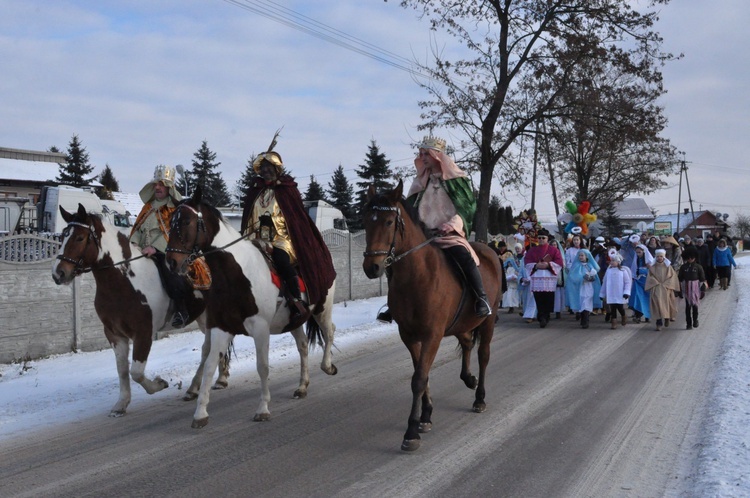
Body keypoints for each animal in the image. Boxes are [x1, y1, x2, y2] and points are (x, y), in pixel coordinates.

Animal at [169, 189, 340, 430]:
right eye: (170, 221)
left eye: (186, 221)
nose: (172, 261)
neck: (237, 274)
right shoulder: (222, 327)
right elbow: (210, 364)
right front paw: (200, 413)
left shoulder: (260, 329)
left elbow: (263, 367)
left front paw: (263, 409)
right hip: (294, 320)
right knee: (303, 346)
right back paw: (302, 386)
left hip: (322, 308)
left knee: (329, 331)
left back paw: (327, 367)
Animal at [362, 182, 502, 452]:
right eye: (366, 221)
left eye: (388, 221)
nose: (371, 267)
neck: (417, 276)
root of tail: (488, 249)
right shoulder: (409, 336)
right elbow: (422, 374)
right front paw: (425, 416)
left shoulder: (432, 335)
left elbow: (419, 378)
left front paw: (411, 432)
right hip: (462, 323)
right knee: (467, 343)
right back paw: (469, 379)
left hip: (488, 321)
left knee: (484, 354)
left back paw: (479, 397)